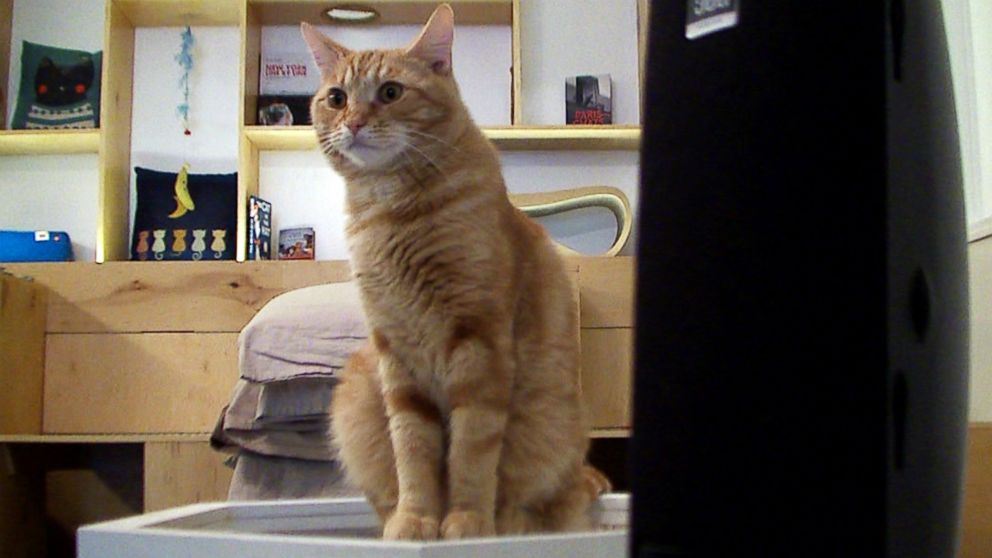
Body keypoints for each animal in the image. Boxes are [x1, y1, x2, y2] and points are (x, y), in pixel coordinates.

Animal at [302, 5, 608, 544]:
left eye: (391, 92)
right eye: (336, 98)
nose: (354, 122)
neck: (390, 210)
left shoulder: (478, 343)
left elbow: (471, 451)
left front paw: (466, 522)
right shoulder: (395, 355)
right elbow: (412, 452)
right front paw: (416, 522)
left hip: (552, 424)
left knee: (544, 503)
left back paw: (509, 522)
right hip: (356, 390)